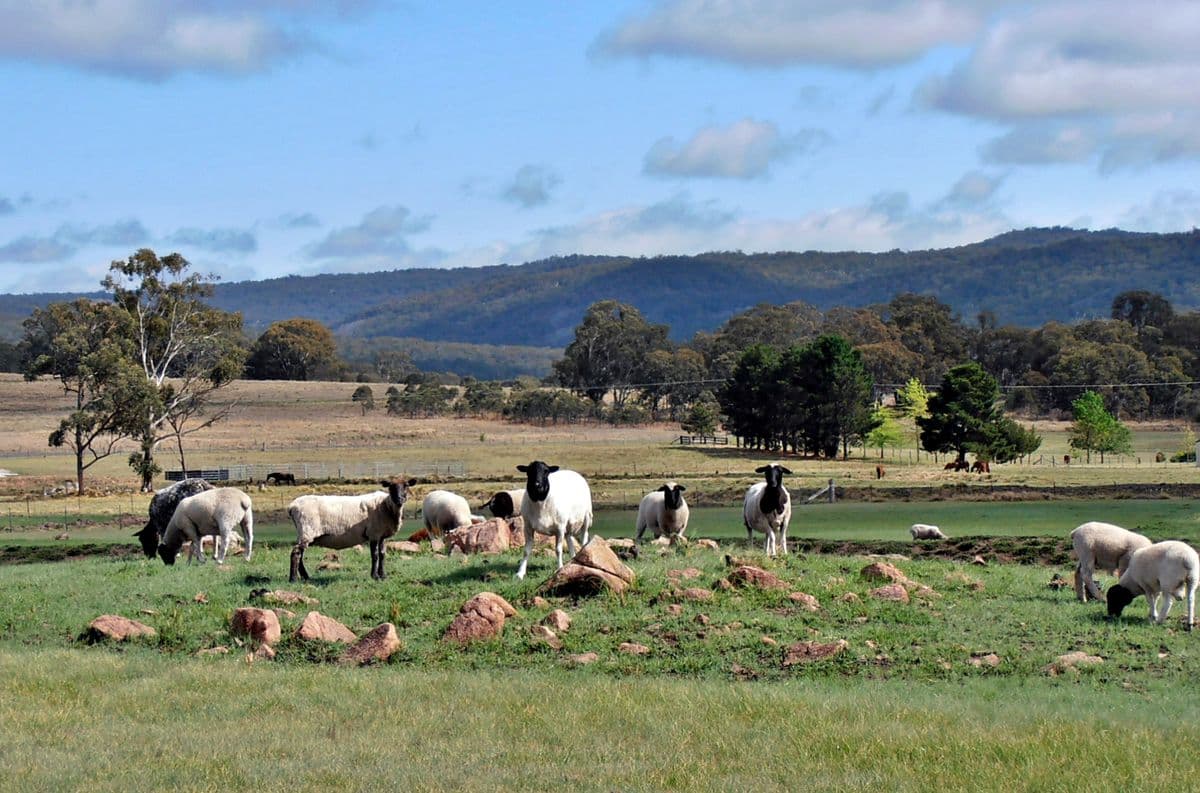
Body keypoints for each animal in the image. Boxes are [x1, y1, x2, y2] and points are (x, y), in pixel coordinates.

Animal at [288, 478, 417, 582]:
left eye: (406, 485)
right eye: (391, 486)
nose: (399, 499)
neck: (386, 506)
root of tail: (292, 506)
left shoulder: (382, 535)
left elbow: (382, 554)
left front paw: (383, 575)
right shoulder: (373, 533)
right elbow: (375, 555)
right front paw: (375, 576)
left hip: (305, 533)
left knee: (300, 554)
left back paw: (305, 577)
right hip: (307, 530)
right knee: (296, 553)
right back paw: (293, 579)